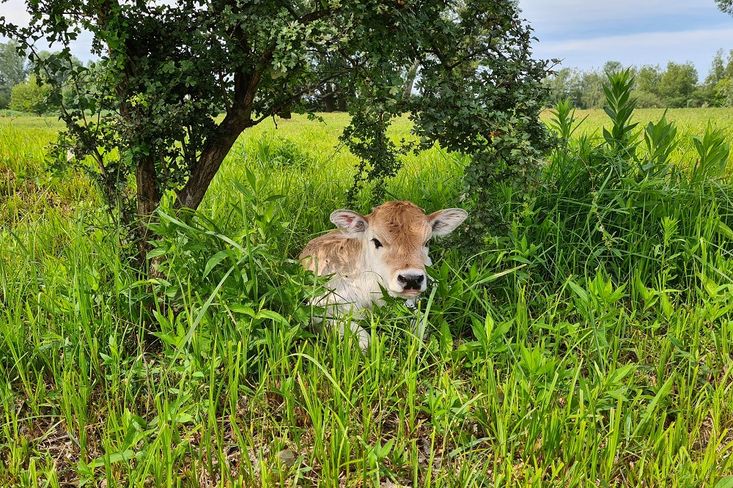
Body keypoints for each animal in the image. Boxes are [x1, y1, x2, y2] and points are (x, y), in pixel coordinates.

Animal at [298, 200, 466, 348]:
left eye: (427, 242)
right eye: (376, 241)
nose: (411, 279)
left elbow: (423, 329)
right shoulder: (317, 310)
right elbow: (364, 341)